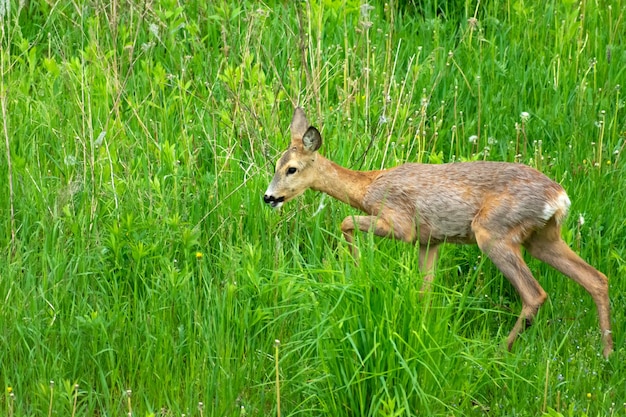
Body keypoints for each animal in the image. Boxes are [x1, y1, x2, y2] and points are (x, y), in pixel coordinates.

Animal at [260, 107, 612, 358]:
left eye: (291, 168)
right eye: (275, 165)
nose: (268, 197)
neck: (369, 188)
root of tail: (560, 197)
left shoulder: (401, 223)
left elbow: (345, 221)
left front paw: (357, 268)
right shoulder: (430, 241)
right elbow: (424, 289)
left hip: (493, 232)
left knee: (535, 293)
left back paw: (499, 352)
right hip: (543, 238)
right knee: (597, 278)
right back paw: (607, 353)